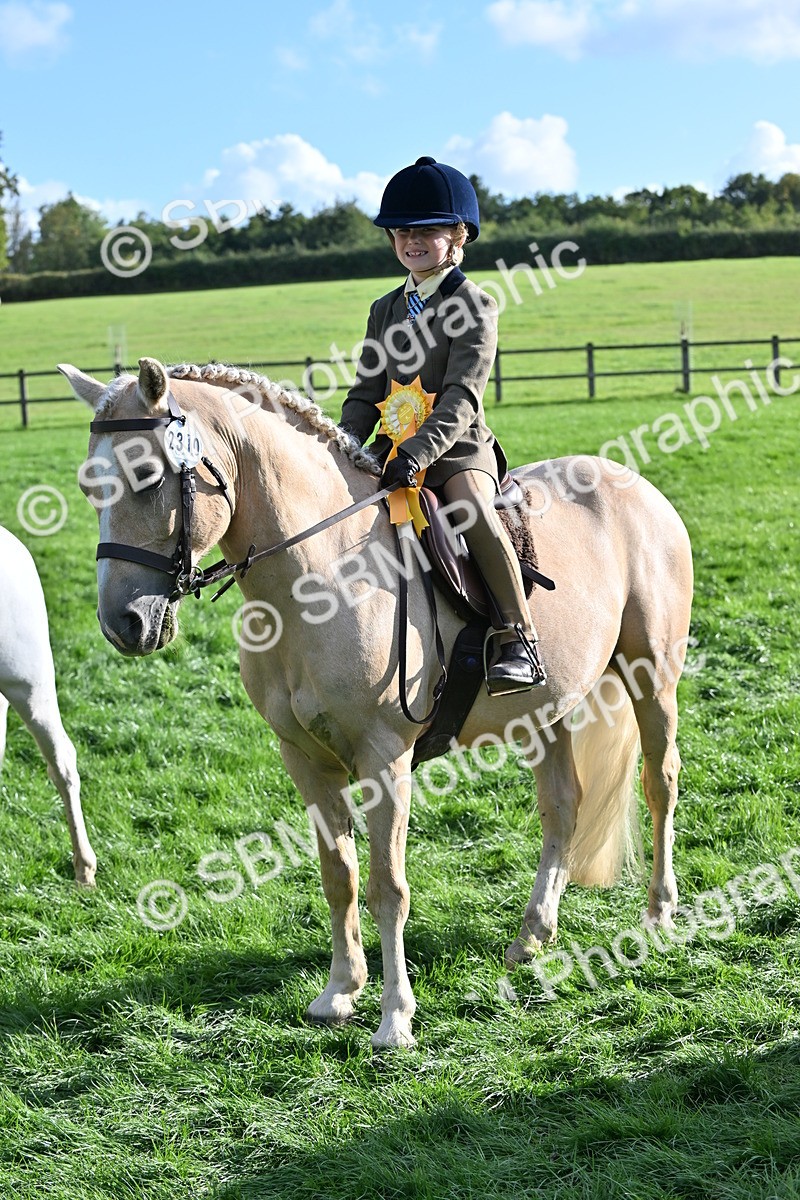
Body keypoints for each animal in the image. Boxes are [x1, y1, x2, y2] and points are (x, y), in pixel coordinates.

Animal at [60, 356, 693, 1048]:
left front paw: (395, 1018)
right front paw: (339, 993)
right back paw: (531, 937)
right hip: (544, 708)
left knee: (659, 783)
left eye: (147, 478)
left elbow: (389, 886)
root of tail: (638, 486)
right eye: (89, 487)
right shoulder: (305, 759)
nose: (122, 624)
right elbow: (339, 876)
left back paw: (660, 916)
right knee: (563, 806)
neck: (318, 579)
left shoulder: (384, 758)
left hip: (652, 678)